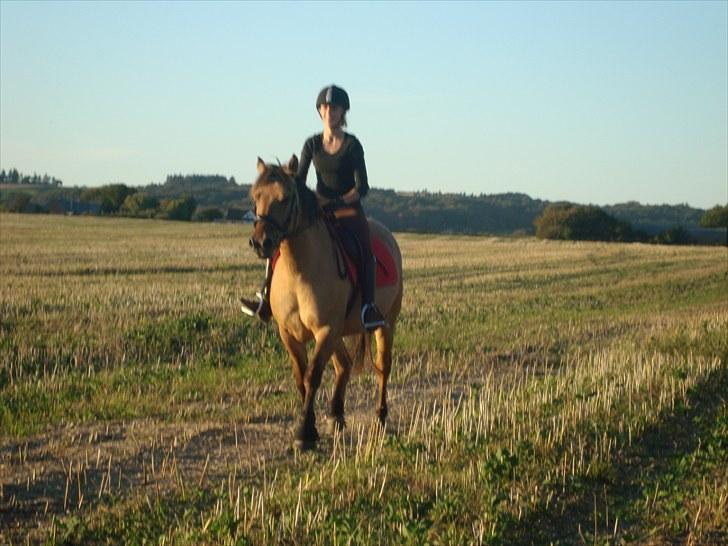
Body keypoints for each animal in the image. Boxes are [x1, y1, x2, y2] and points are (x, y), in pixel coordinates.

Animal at [247, 153, 400, 446]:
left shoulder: (325, 330)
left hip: (386, 324)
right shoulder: (288, 333)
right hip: (339, 333)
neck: (299, 270)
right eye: (254, 196)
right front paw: (312, 425)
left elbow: (312, 376)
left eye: (285, 198)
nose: (260, 243)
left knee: (382, 367)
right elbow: (300, 377)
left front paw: (304, 433)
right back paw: (336, 415)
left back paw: (380, 416)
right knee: (344, 365)